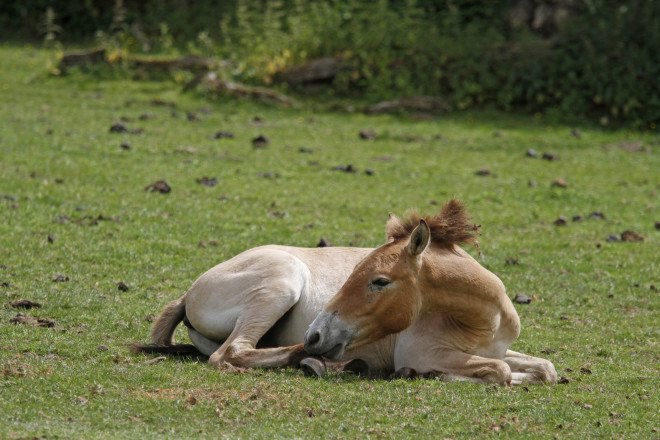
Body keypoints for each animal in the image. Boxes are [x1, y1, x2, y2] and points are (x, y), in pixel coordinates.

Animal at [134, 200, 557, 385]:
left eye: (379, 281)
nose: (317, 334)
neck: (485, 319)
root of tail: (189, 294)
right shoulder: (426, 351)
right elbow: (500, 372)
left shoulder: (496, 349)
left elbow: (544, 369)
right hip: (282, 282)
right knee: (231, 353)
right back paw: (319, 361)